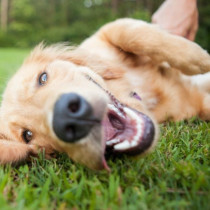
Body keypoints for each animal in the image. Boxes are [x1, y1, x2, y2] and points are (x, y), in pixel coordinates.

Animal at [0, 18, 210, 171]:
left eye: (42, 78)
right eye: (27, 135)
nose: (68, 117)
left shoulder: (104, 34)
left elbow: (131, 33)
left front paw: (200, 59)